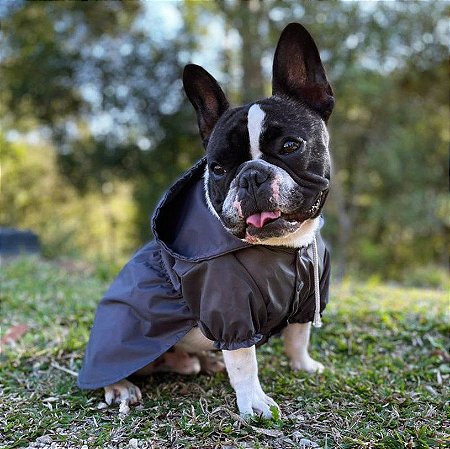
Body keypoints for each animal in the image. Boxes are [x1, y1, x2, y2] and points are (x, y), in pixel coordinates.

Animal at [78, 23, 334, 416]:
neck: (284, 249)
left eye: (291, 146)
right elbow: (244, 359)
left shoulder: (310, 295)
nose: (251, 176)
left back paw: (202, 362)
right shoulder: (230, 310)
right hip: (118, 332)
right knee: (114, 366)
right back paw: (121, 386)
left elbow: (298, 335)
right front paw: (254, 403)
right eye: (218, 168)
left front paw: (304, 365)